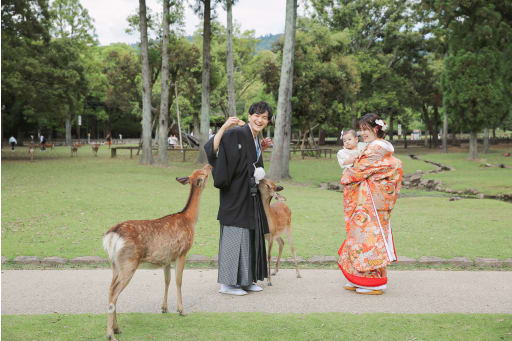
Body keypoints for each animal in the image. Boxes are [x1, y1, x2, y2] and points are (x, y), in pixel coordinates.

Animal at [103, 163, 211, 338]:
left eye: (199, 170)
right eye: (204, 173)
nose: (209, 164)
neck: (189, 219)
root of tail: (112, 235)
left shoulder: (166, 258)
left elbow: (167, 280)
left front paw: (164, 308)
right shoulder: (182, 252)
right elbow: (178, 280)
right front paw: (181, 310)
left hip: (114, 264)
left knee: (111, 289)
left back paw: (117, 328)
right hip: (128, 263)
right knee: (114, 292)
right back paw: (110, 334)